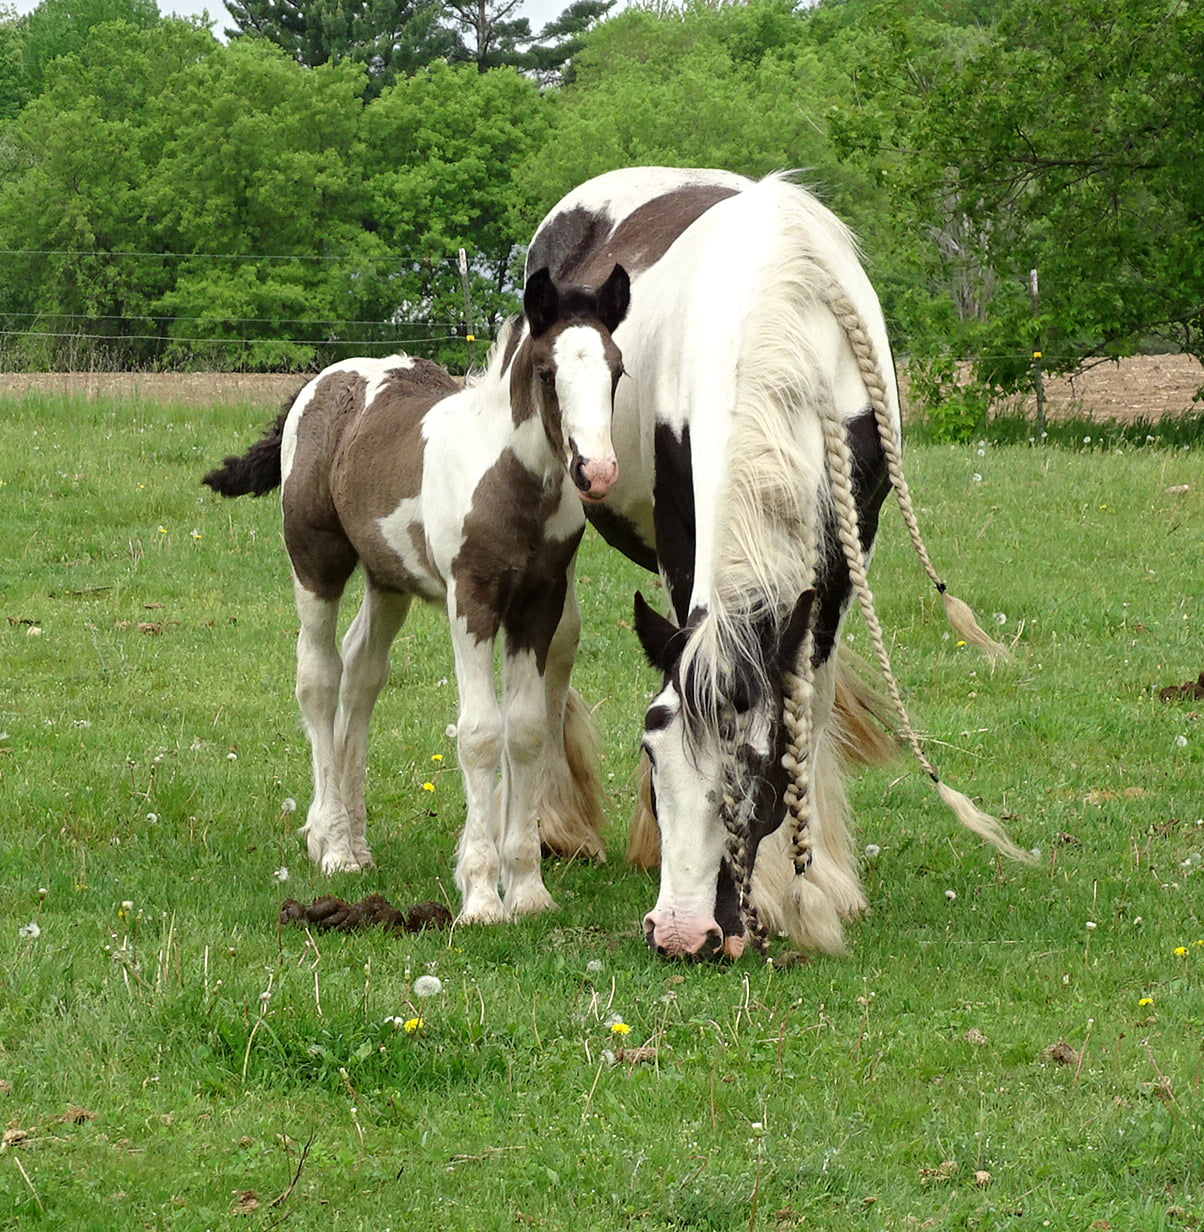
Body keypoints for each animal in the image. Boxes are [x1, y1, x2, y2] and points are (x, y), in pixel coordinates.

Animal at [203, 269, 628, 926]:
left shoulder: (539, 604)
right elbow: (480, 733)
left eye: (618, 370)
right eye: (546, 372)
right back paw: (332, 847)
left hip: (388, 581)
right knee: (319, 678)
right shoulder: (471, 601)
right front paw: (481, 897)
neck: (511, 483)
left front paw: (528, 891)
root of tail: (320, 382)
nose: (596, 471)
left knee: (361, 676)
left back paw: (353, 842)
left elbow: (528, 731)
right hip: (315, 562)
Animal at [527, 168, 1025, 960]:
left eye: (758, 769)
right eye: (652, 751)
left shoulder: (851, 549)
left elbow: (807, 699)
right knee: (556, 650)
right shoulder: (684, 542)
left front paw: (812, 886)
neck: (781, 319)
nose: (682, 933)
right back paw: (556, 825)